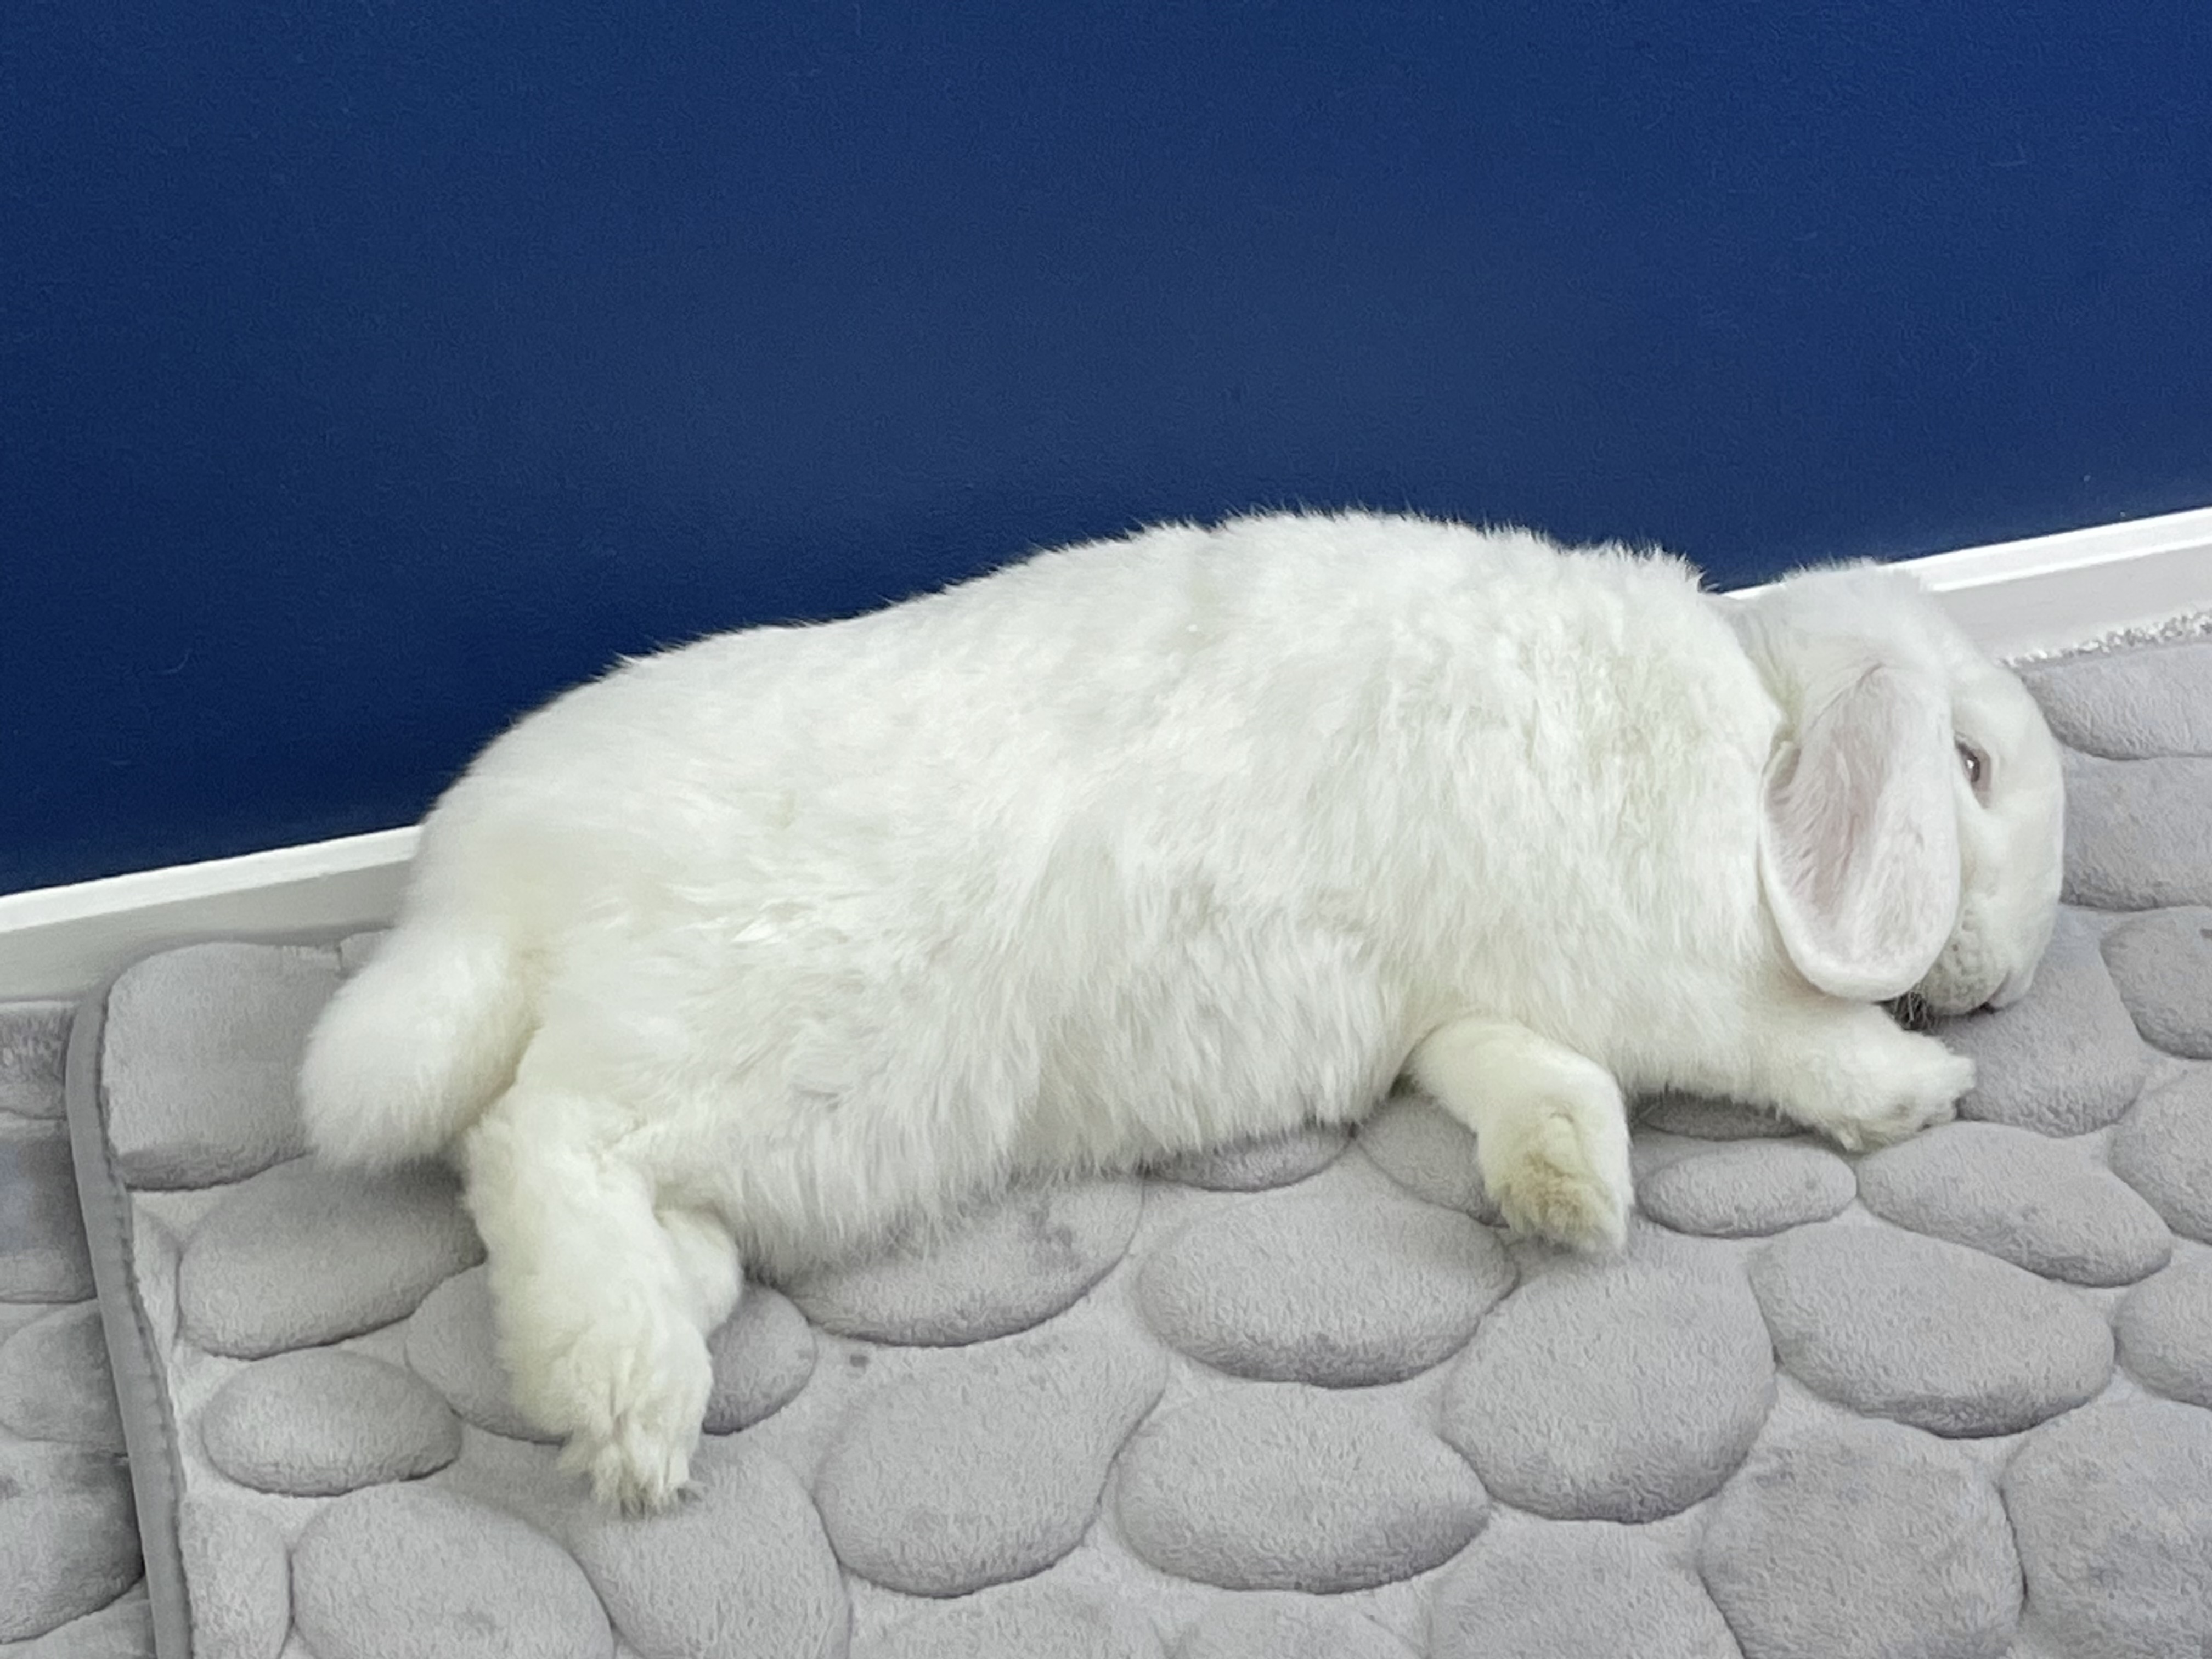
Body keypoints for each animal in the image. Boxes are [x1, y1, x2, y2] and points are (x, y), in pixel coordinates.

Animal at [297, 509, 2065, 1513]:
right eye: (1972, 768)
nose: (2010, 982)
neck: (1754, 737)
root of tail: (486, 890)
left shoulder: (1463, 998)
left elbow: (1517, 1080)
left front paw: (1566, 1194)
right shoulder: (1665, 968)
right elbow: (1772, 1042)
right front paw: (1906, 1090)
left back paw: (650, 1329)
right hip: (769, 1048)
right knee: (541, 1142)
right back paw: (628, 1408)